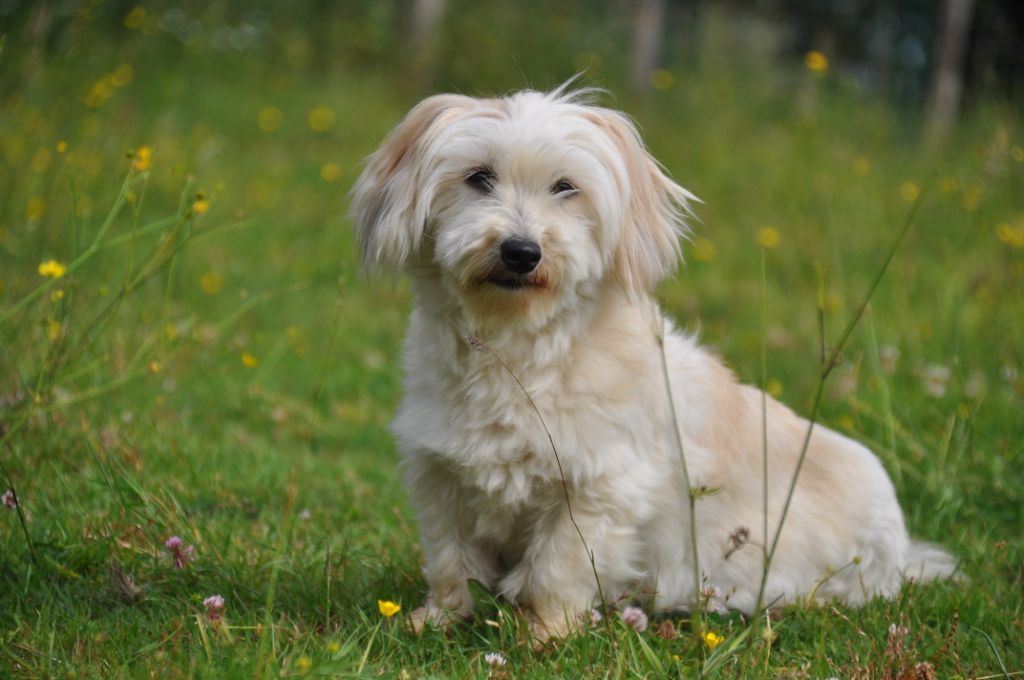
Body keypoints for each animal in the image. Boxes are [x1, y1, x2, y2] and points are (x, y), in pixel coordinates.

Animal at [348, 83, 954, 639]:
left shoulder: (598, 489)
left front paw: (545, 634)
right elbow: (450, 561)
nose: (521, 251)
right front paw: (437, 619)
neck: (516, 352)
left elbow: (558, 567)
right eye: (478, 178)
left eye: (565, 187)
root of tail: (903, 548)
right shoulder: (440, 474)